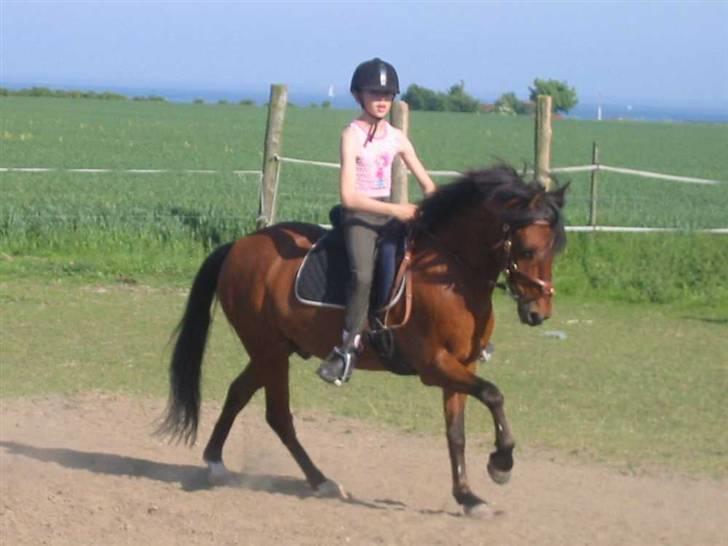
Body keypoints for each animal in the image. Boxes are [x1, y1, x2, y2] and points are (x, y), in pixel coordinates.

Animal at [159, 164, 568, 516]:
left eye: (556, 250)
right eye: (528, 250)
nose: (539, 313)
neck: (452, 273)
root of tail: (239, 245)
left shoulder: (460, 365)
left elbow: (457, 433)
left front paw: (468, 497)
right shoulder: (435, 365)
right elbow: (494, 394)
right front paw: (502, 464)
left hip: (275, 350)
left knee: (238, 393)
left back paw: (217, 462)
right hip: (269, 350)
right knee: (277, 414)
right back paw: (320, 481)